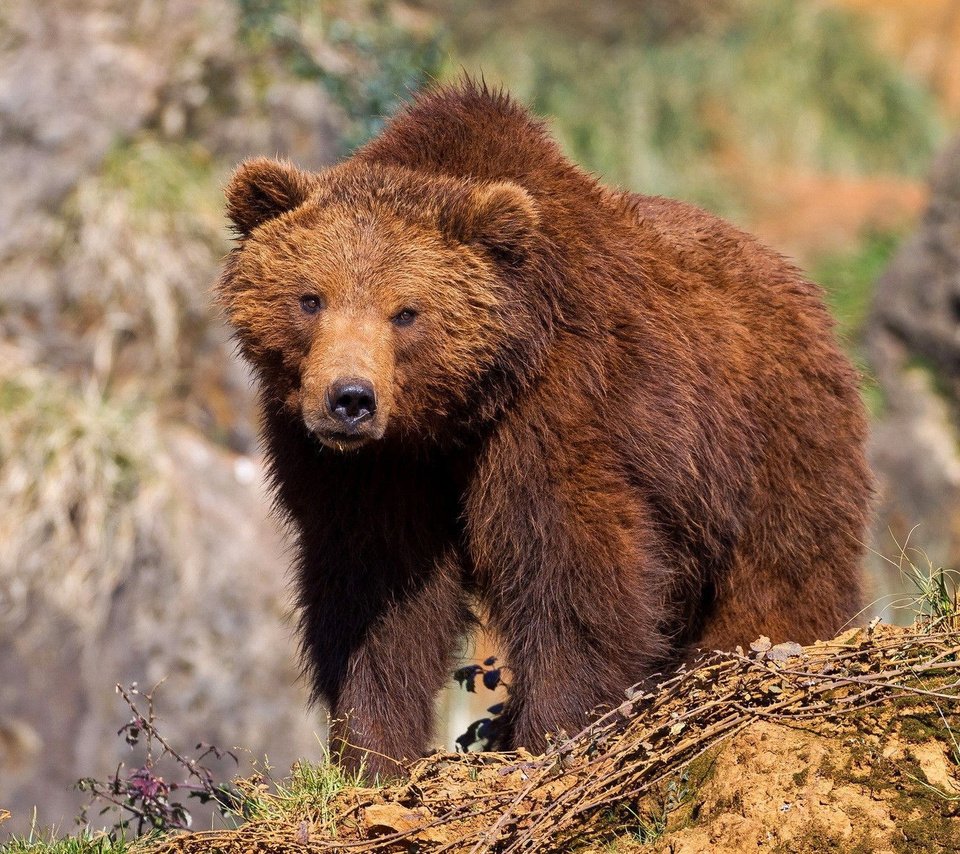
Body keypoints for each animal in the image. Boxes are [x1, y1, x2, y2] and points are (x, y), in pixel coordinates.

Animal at [216, 78, 872, 776]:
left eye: (406, 312)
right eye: (310, 298)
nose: (349, 400)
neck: (453, 414)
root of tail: (803, 288)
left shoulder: (562, 407)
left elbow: (572, 569)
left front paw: (550, 731)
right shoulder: (367, 469)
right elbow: (377, 593)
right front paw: (372, 750)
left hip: (771, 438)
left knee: (783, 567)